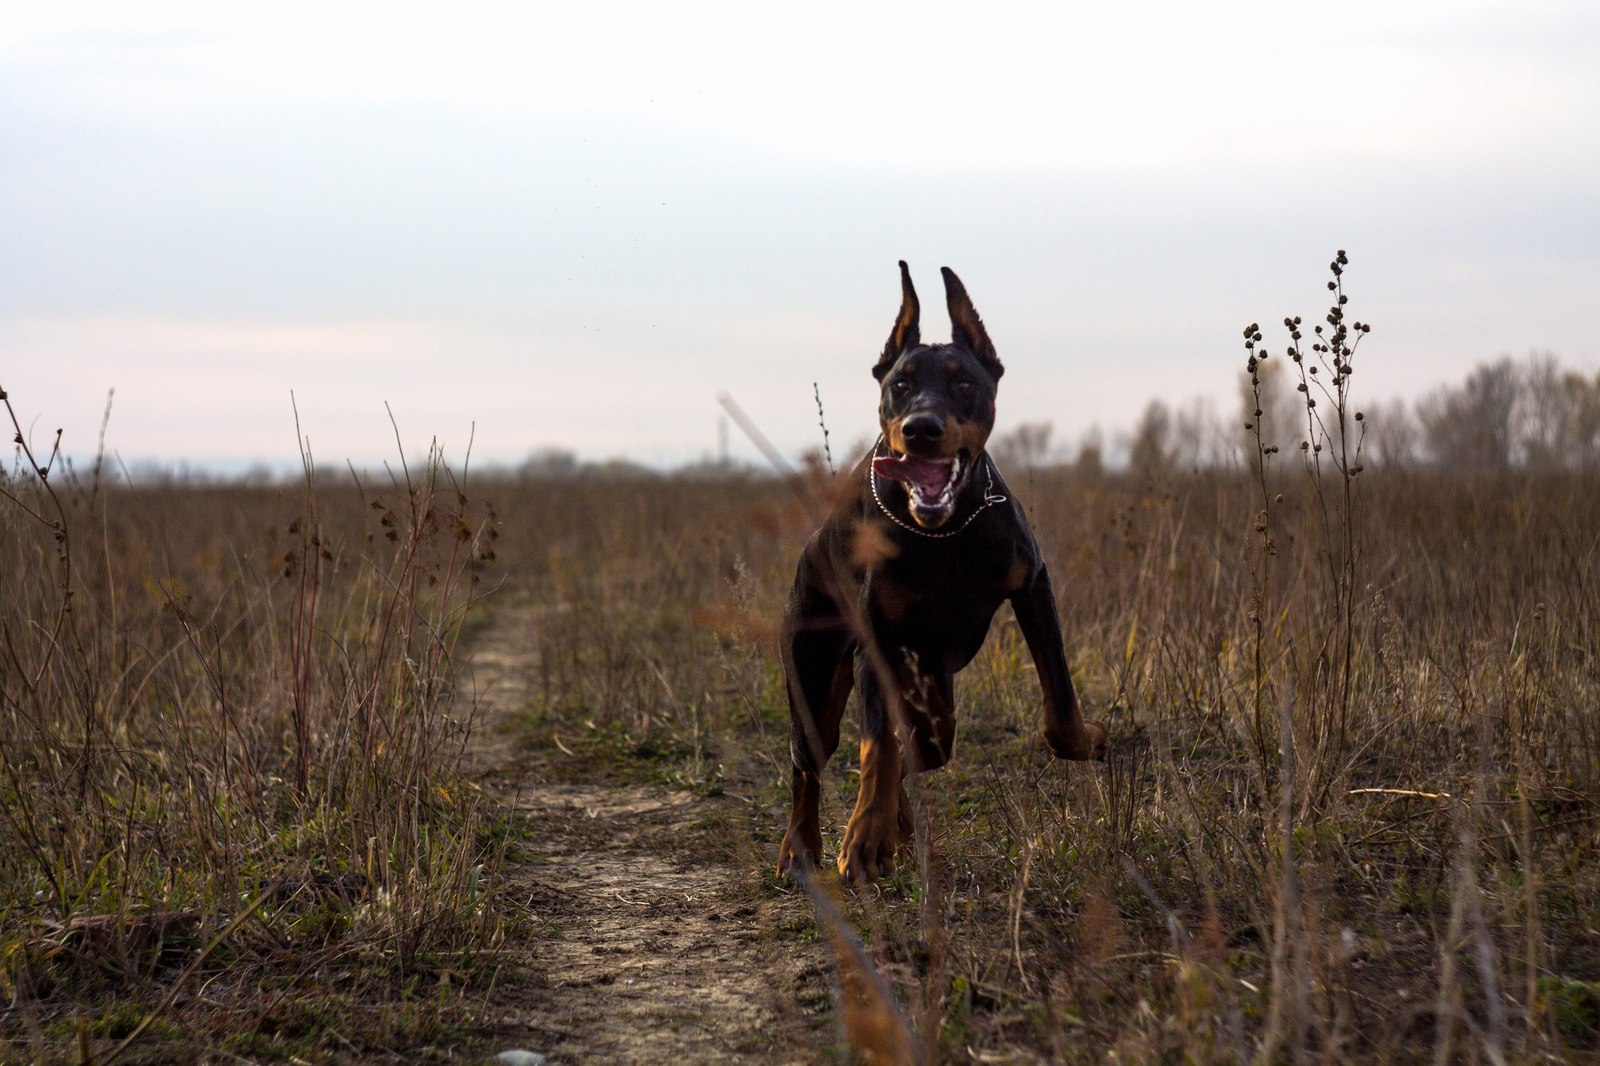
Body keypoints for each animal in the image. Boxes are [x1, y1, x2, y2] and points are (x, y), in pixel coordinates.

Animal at [777, 259, 1107, 877]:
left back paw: (900, 827)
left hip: (935, 696)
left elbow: (1059, 703)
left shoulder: (1033, 585)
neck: (943, 534)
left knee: (923, 748)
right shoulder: (877, 641)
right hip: (812, 667)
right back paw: (802, 846)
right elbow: (877, 745)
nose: (922, 428)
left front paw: (1089, 739)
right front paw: (864, 836)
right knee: (810, 759)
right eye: (900, 384)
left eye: (963, 383)